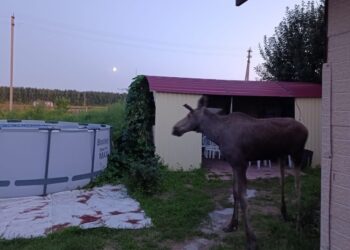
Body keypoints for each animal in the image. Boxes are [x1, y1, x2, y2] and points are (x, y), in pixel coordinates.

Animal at [172, 96, 306, 250]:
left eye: (189, 115)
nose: (174, 128)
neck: (217, 134)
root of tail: (306, 130)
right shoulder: (233, 164)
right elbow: (235, 193)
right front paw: (232, 225)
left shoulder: (241, 163)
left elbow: (243, 199)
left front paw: (251, 239)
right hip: (282, 155)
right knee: (283, 181)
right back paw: (284, 213)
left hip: (297, 154)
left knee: (298, 187)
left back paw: (298, 225)